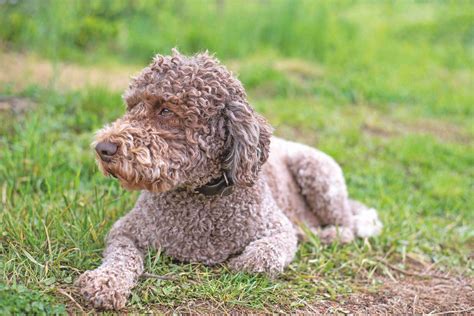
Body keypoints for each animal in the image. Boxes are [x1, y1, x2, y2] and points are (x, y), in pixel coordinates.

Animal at [76, 49, 384, 308]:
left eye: (165, 110)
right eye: (131, 106)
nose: (103, 148)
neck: (199, 195)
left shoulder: (278, 230)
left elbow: (262, 256)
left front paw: (240, 262)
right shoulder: (125, 231)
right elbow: (122, 257)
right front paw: (105, 282)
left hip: (318, 174)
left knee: (347, 226)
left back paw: (326, 234)